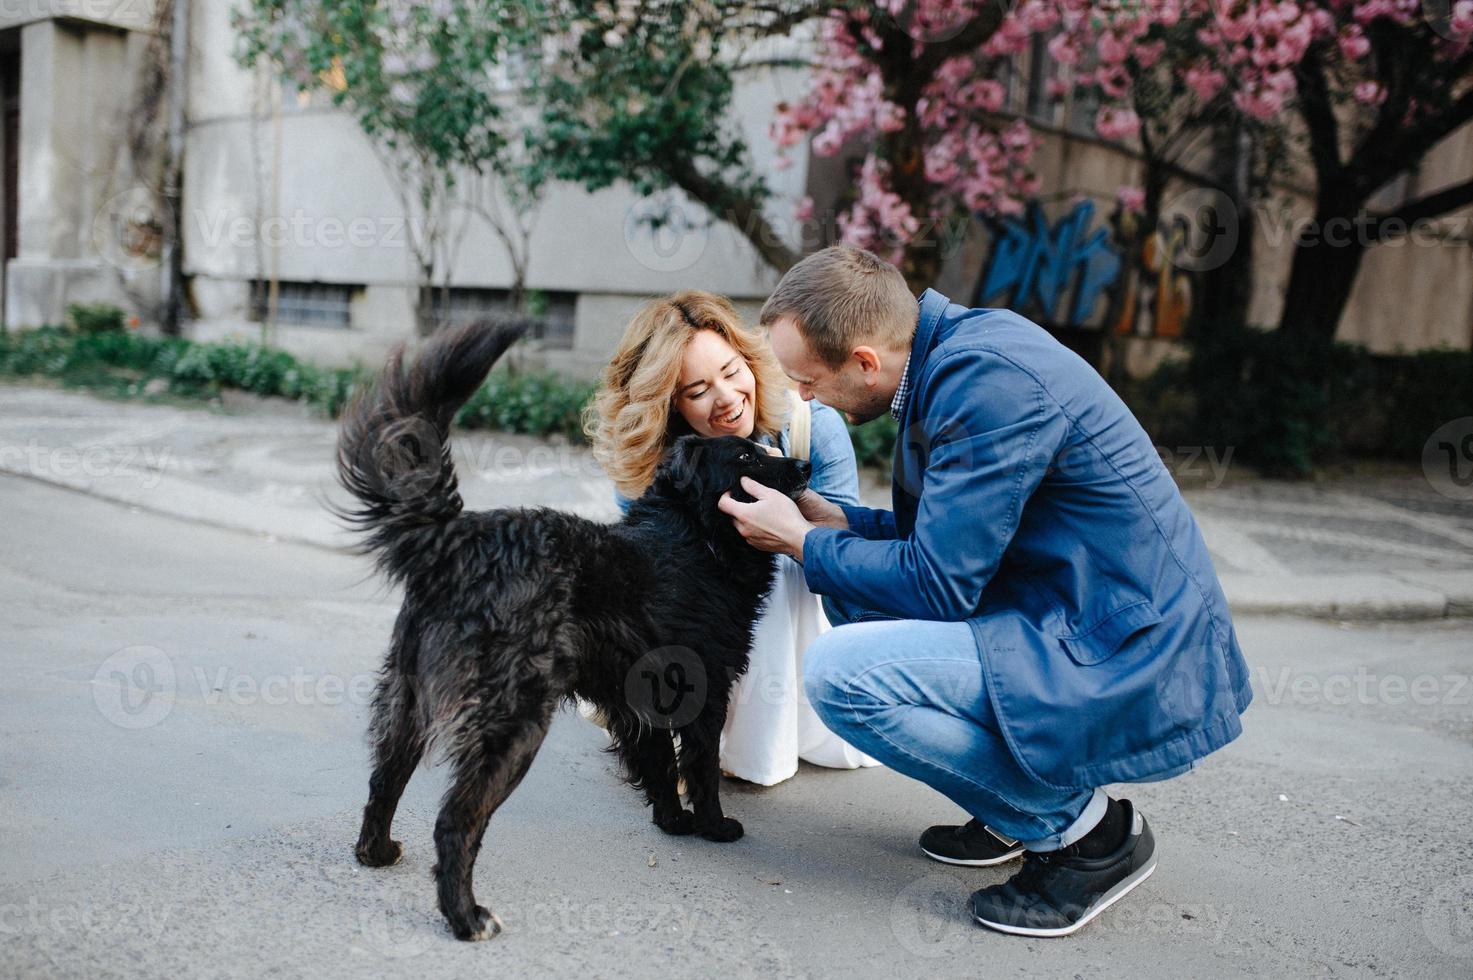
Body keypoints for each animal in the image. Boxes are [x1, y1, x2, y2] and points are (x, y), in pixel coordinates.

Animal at [334, 319, 813, 943]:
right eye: (746, 454)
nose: (805, 468)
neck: (694, 535)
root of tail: (458, 540)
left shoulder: (640, 697)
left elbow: (659, 766)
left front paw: (671, 822)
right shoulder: (704, 690)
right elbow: (701, 767)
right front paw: (712, 826)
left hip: (407, 699)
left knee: (382, 779)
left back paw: (377, 852)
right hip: (512, 721)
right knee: (455, 820)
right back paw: (467, 917)